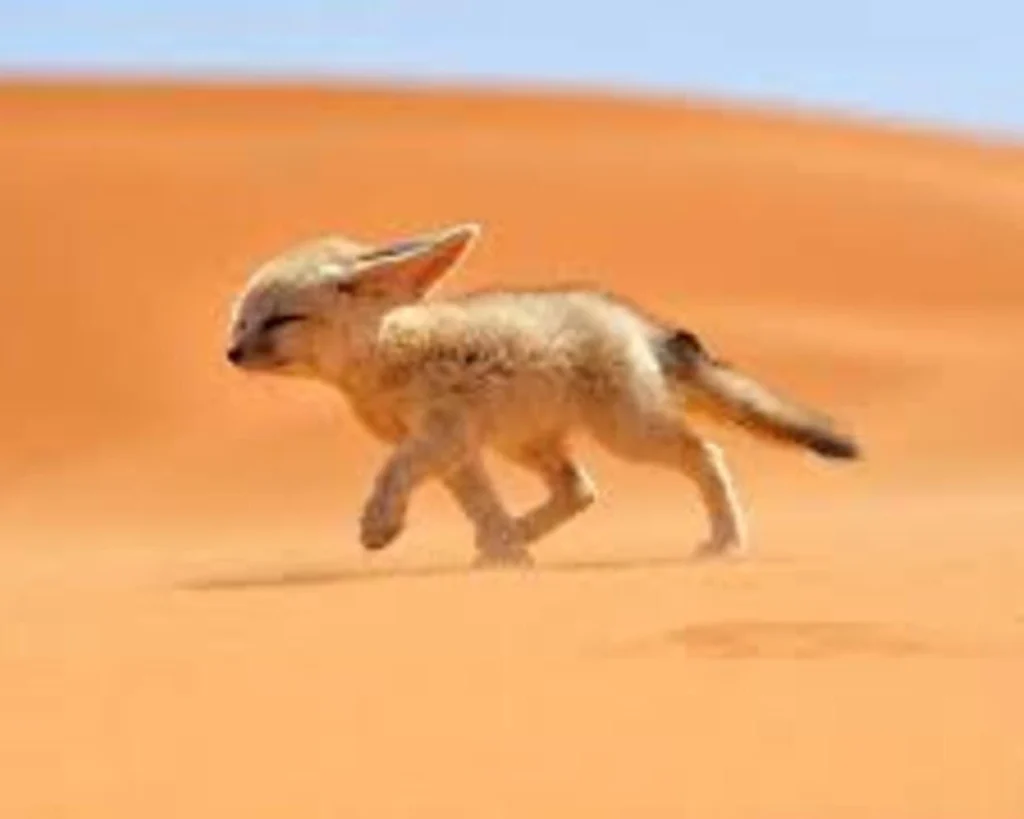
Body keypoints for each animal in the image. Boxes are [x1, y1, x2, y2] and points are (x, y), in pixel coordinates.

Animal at [226, 222, 860, 567]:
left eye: (280, 319)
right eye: (242, 321)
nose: (231, 354)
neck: (385, 358)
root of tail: (630, 318)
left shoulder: (442, 435)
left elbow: (393, 472)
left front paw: (380, 525)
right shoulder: (456, 451)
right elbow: (480, 504)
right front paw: (506, 553)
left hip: (628, 434)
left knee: (705, 453)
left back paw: (727, 541)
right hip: (527, 444)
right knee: (580, 490)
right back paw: (520, 534)